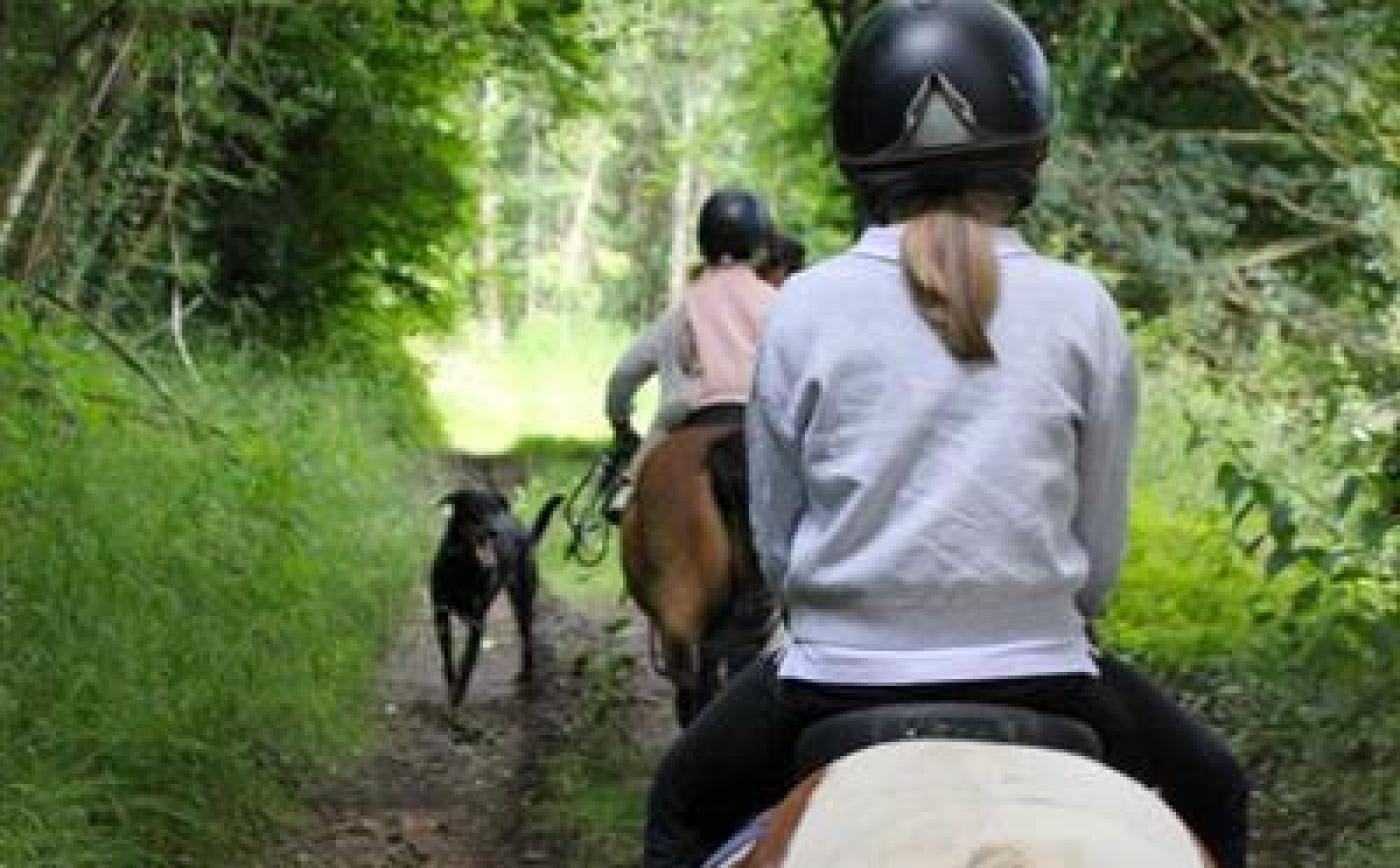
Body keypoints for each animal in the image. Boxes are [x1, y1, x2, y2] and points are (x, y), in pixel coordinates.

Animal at [428, 487, 560, 705]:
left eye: (496, 509)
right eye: (476, 508)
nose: (494, 531)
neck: (464, 565)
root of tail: (523, 530)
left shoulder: (477, 622)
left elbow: (467, 665)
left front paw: (457, 698)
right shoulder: (440, 614)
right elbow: (448, 659)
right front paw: (452, 686)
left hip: (522, 601)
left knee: (527, 637)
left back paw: (527, 674)